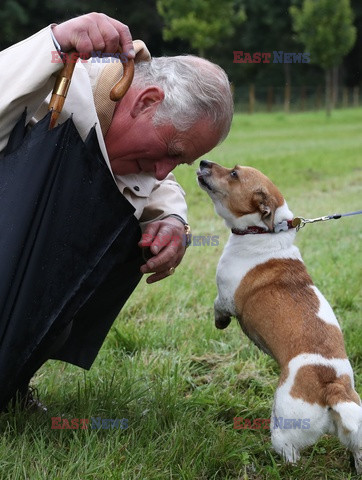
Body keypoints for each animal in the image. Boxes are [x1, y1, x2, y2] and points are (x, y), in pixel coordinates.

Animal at [198, 159, 362, 470]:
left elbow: (218, 306)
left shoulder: (225, 297)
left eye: (234, 174)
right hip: (354, 429)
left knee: (290, 455)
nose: (203, 162)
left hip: (284, 427)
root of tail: (332, 385)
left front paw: (219, 322)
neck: (263, 231)